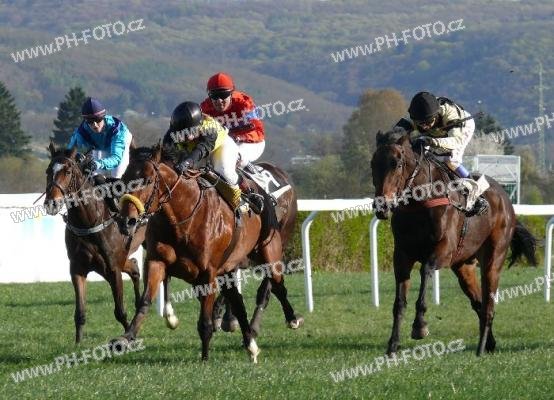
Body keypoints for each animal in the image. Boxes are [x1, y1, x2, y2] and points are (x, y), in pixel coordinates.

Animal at [44, 143, 148, 343]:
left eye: (68, 171)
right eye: (48, 171)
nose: (51, 203)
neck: (89, 221)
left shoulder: (113, 268)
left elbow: (120, 311)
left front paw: (127, 337)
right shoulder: (78, 268)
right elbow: (80, 312)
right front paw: (78, 343)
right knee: (134, 267)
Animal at [115, 144, 302, 362]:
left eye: (148, 180)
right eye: (124, 179)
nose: (126, 221)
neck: (183, 217)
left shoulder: (208, 273)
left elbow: (205, 321)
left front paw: (204, 358)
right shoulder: (157, 261)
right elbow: (145, 301)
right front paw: (125, 338)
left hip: (270, 252)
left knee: (275, 285)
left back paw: (290, 319)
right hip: (229, 267)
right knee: (238, 301)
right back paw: (250, 343)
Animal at [370, 129, 537, 356]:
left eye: (397, 164)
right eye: (373, 163)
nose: (382, 206)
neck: (420, 201)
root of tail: (505, 199)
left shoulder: (444, 250)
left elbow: (426, 270)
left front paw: (420, 325)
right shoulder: (402, 256)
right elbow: (399, 303)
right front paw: (392, 346)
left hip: (493, 258)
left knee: (488, 305)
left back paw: (481, 349)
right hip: (464, 266)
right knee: (478, 302)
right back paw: (490, 343)